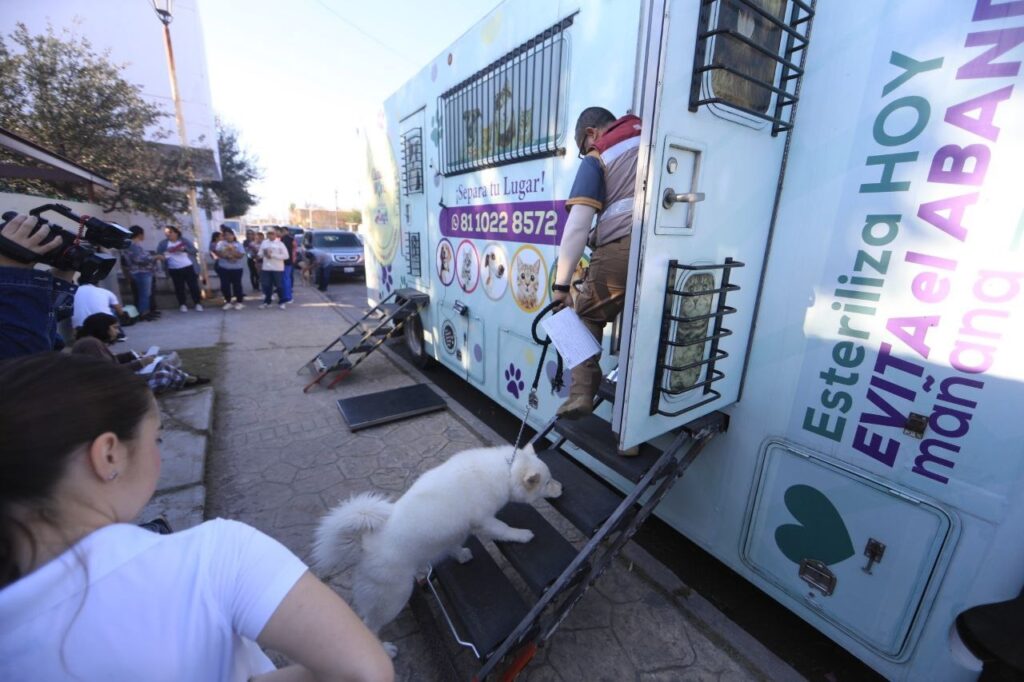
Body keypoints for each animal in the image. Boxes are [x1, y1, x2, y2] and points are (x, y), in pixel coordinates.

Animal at [313, 444, 565, 655]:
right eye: (548, 482)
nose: (562, 488)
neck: (506, 470)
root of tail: (365, 544)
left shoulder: (461, 528)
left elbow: (455, 545)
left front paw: (461, 555)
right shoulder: (485, 520)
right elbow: (504, 529)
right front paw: (522, 535)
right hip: (394, 598)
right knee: (370, 624)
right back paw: (385, 650)